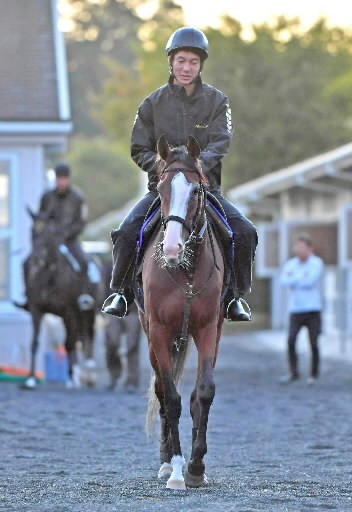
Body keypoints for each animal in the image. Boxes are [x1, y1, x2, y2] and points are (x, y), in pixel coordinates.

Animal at [21, 208, 102, 388]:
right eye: (32, 231)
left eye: (51, 233)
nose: (36, 261)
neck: (49, 276)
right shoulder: (36, 310)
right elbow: (34, 343)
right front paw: (30, 379)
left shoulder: (69, 312)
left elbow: (69, 343)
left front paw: (71, 378)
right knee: (80, 339)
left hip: (88, 312)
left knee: (88, 338)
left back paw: (89, 374)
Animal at [135, 135, 226, 488]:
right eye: (160, 188)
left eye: (197, 191)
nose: (172, 248)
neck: (185, 269)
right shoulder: (159, 331)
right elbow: (170, 399)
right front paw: (175, 469)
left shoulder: (208, 329)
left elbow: (203, 394)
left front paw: (197, 467)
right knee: (162, 392)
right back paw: (164, 462)